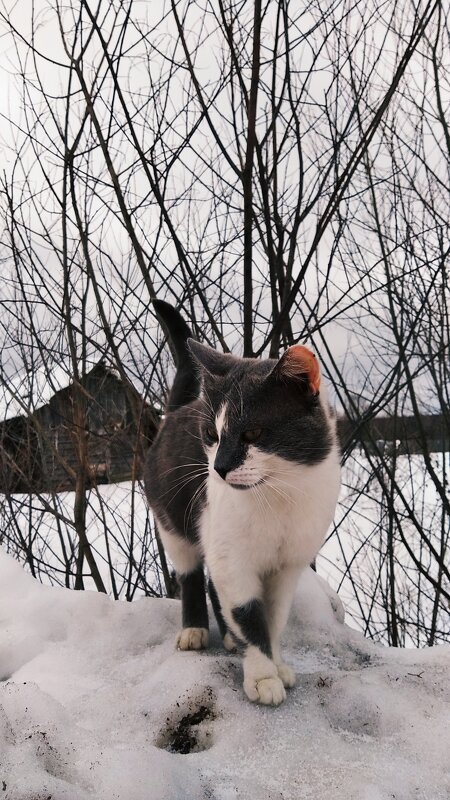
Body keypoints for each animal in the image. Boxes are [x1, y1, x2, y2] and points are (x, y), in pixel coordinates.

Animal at [145, 300, 342, 708]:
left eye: (252, 433)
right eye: (211, 434)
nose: (218, 468)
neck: (280, 497)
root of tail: (181, 406)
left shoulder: (288, 565)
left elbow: (274, 617)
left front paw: (276, 664)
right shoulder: (232, 556)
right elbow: (249, 614)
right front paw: (263, 677)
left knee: (211, 583)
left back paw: (229, 637)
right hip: (172, 517)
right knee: (191, 573)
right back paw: (195, 630)